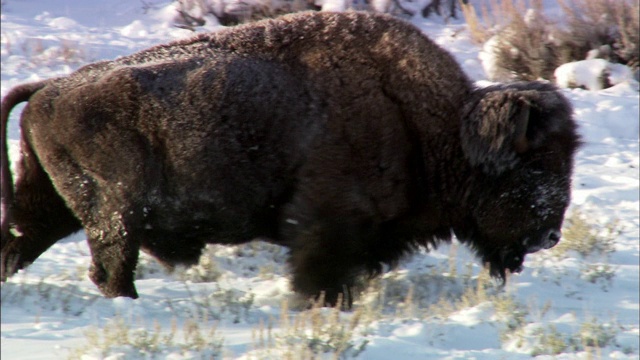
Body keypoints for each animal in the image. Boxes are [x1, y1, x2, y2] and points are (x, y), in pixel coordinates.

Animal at [0, 10, 580, 306]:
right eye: (535, 164)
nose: (550, 234)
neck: (433, 124)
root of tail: (48, 89)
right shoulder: (327, 223)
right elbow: (318, 272)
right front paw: (320, 305)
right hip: (115, 215)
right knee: (109, 266)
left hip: (50, 200)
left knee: (21, 239)